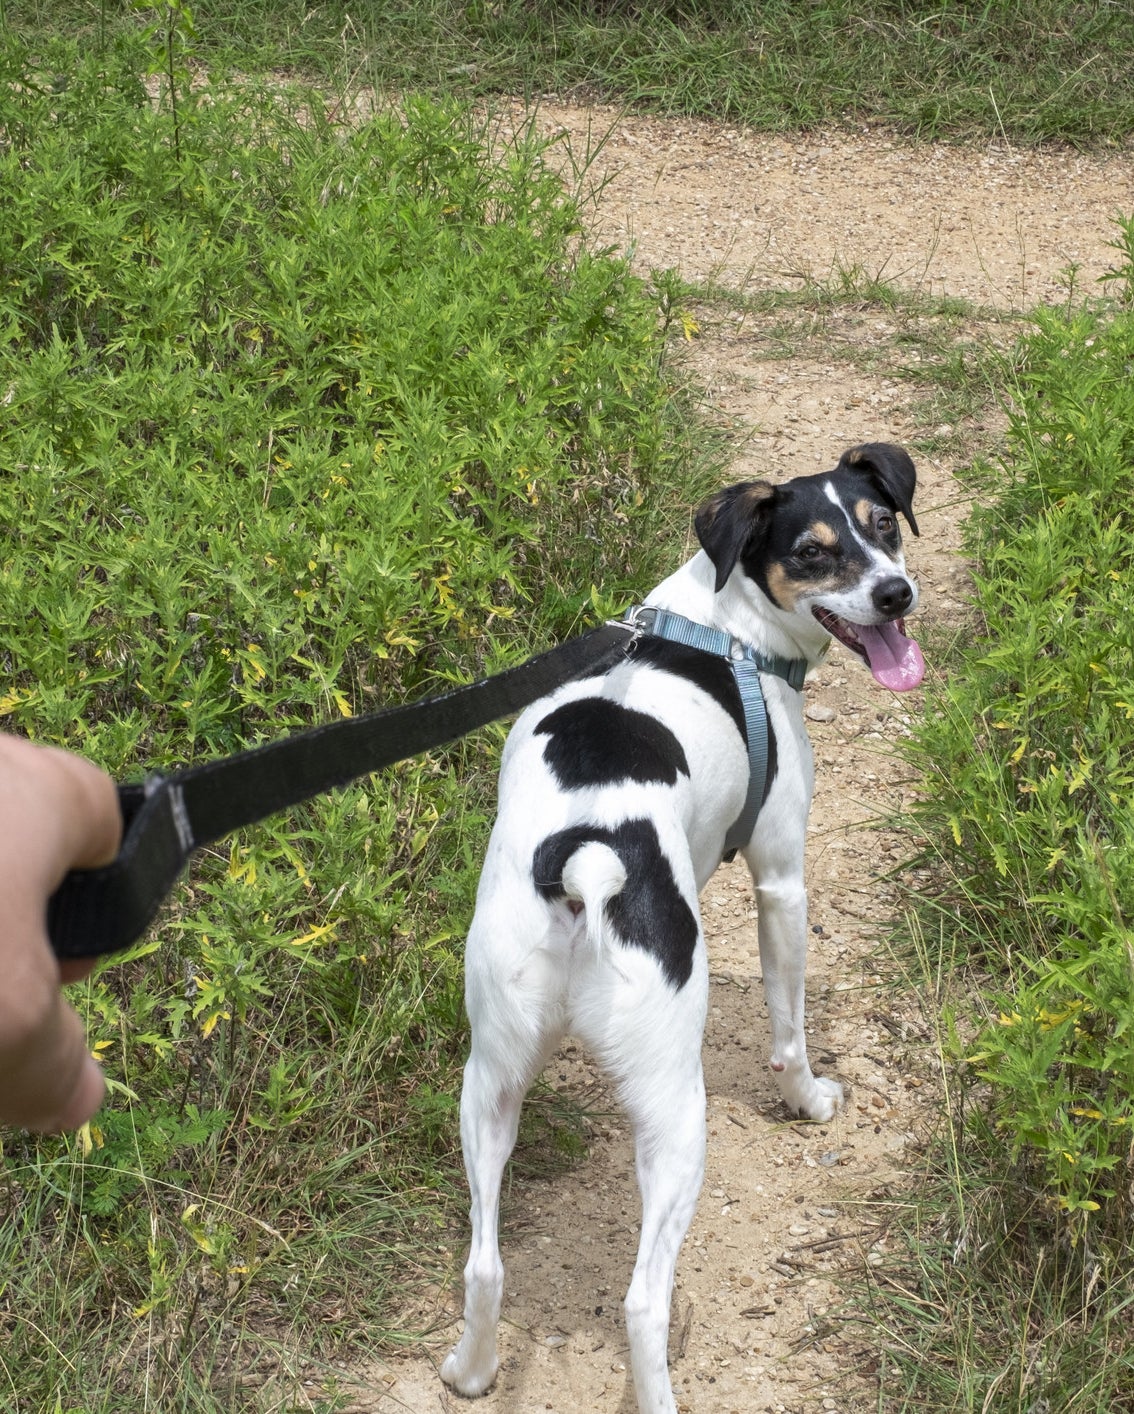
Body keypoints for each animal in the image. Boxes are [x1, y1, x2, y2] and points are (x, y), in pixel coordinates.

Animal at [438, 443, 921, 1414]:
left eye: (883, 524)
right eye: (812, 552)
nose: (896, 595)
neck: (723, 620)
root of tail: (586, 857)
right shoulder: (782, 880)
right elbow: (788, 1029)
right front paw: (809, 1100)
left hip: (489, 1078)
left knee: (484, 1267)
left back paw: (471, 1371)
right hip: (674, 1108)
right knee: (641, 1305)